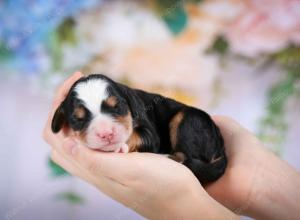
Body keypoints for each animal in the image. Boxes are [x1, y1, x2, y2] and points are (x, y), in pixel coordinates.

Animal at [52, 74, 227, 184]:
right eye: (78, 119)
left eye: (117, 107)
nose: (106, 134)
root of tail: (222, 147)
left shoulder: (150, 132)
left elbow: (137, 135)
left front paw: (121, 146)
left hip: (188, 119)